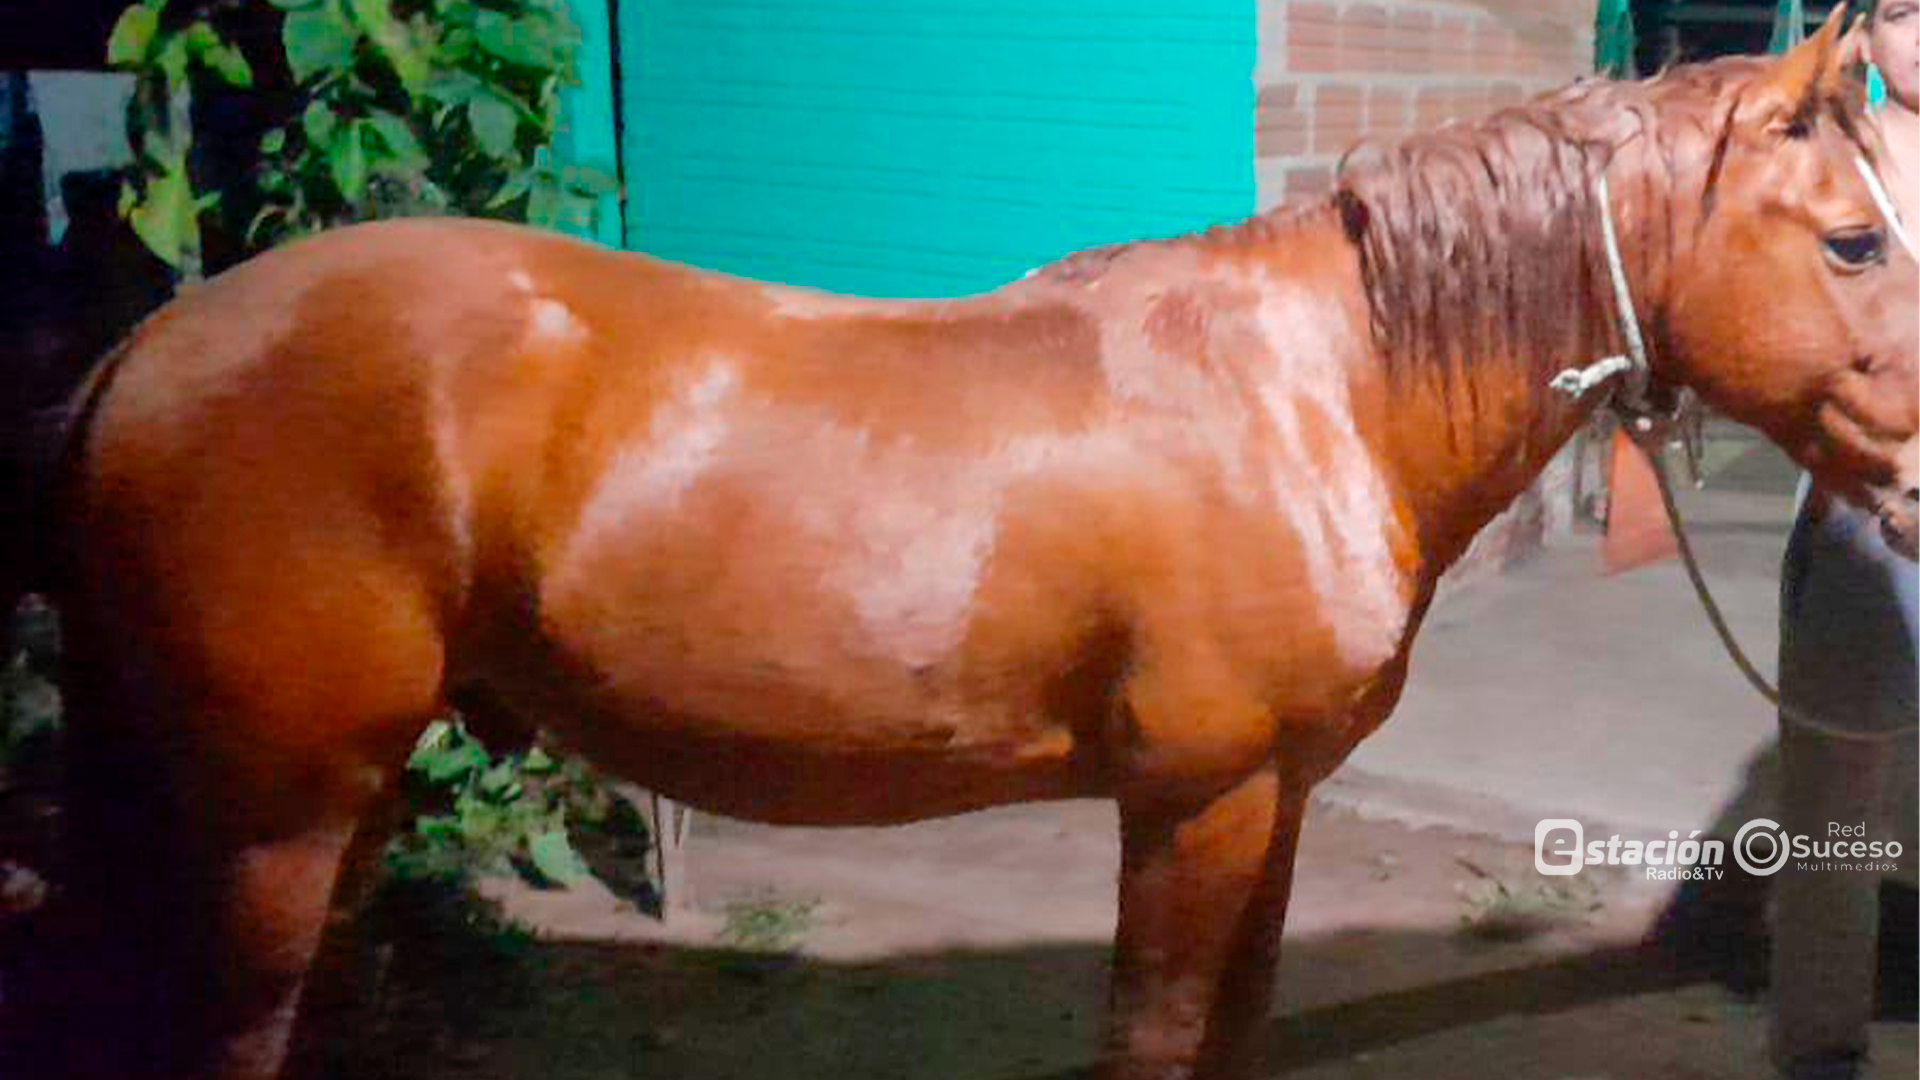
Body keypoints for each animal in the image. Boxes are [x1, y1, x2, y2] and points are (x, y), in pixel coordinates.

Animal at [13, 13, 1920, 1080]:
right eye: (1851, 239)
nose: (1918, 486)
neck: (1319, 387)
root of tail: (144, 353)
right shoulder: (1196, 799)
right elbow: (1156, 1037)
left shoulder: (1276, 799)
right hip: (281, 811)